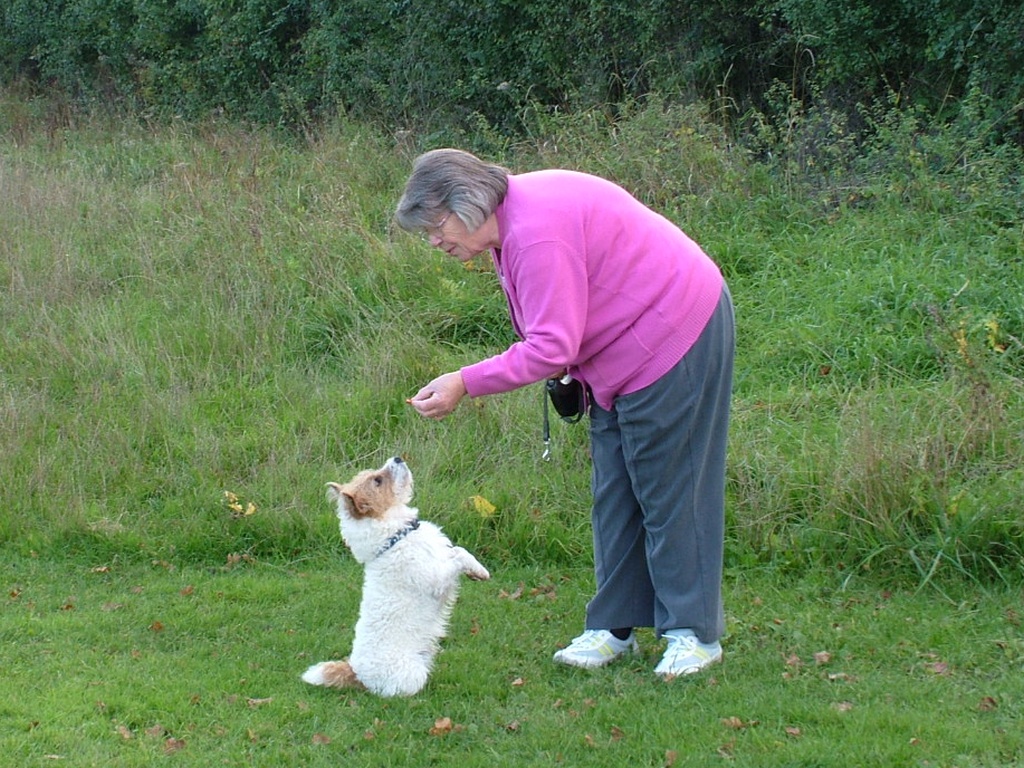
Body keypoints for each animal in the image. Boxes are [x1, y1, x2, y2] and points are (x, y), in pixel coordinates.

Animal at [301, 460, 489, 700]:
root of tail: (355, 672)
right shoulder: (436, 578)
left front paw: (479, 570)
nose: (397, 458)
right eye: (377, 481)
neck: (394, 538)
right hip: (412, 674)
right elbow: (458, 556)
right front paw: (478, 571)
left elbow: (459, 550)